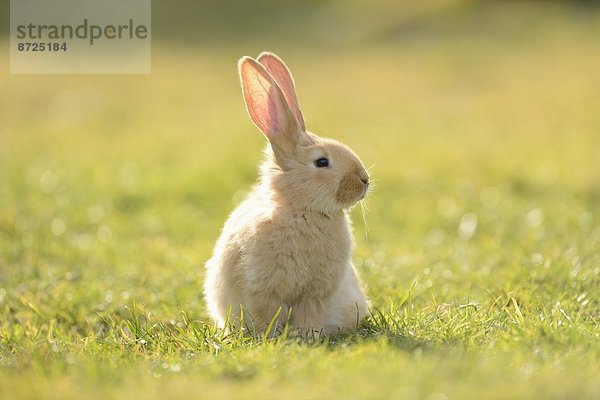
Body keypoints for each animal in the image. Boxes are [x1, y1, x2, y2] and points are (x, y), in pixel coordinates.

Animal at [204, 51, 368, 336]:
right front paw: (270, 336)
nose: (364, 181)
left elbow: (309, 314)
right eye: (322, 162)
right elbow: (267, 313)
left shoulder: (317, 293)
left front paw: (306, 335)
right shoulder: (264, 289)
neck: (303, 210)